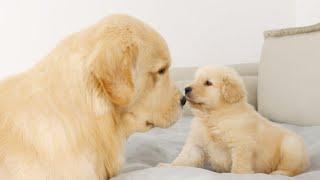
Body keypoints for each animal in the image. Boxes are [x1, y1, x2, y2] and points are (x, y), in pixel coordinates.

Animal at [169, 65, 308, 176]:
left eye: (208, 83)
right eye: (195, 80)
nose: (186, 89)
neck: (214, 117)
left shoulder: (241, 144)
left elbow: (239, 165)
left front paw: (238, 174)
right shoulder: (196, 144)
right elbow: (184, 158)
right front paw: (169, 166)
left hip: (291, 147)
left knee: (291, 169)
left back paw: (279, 173)